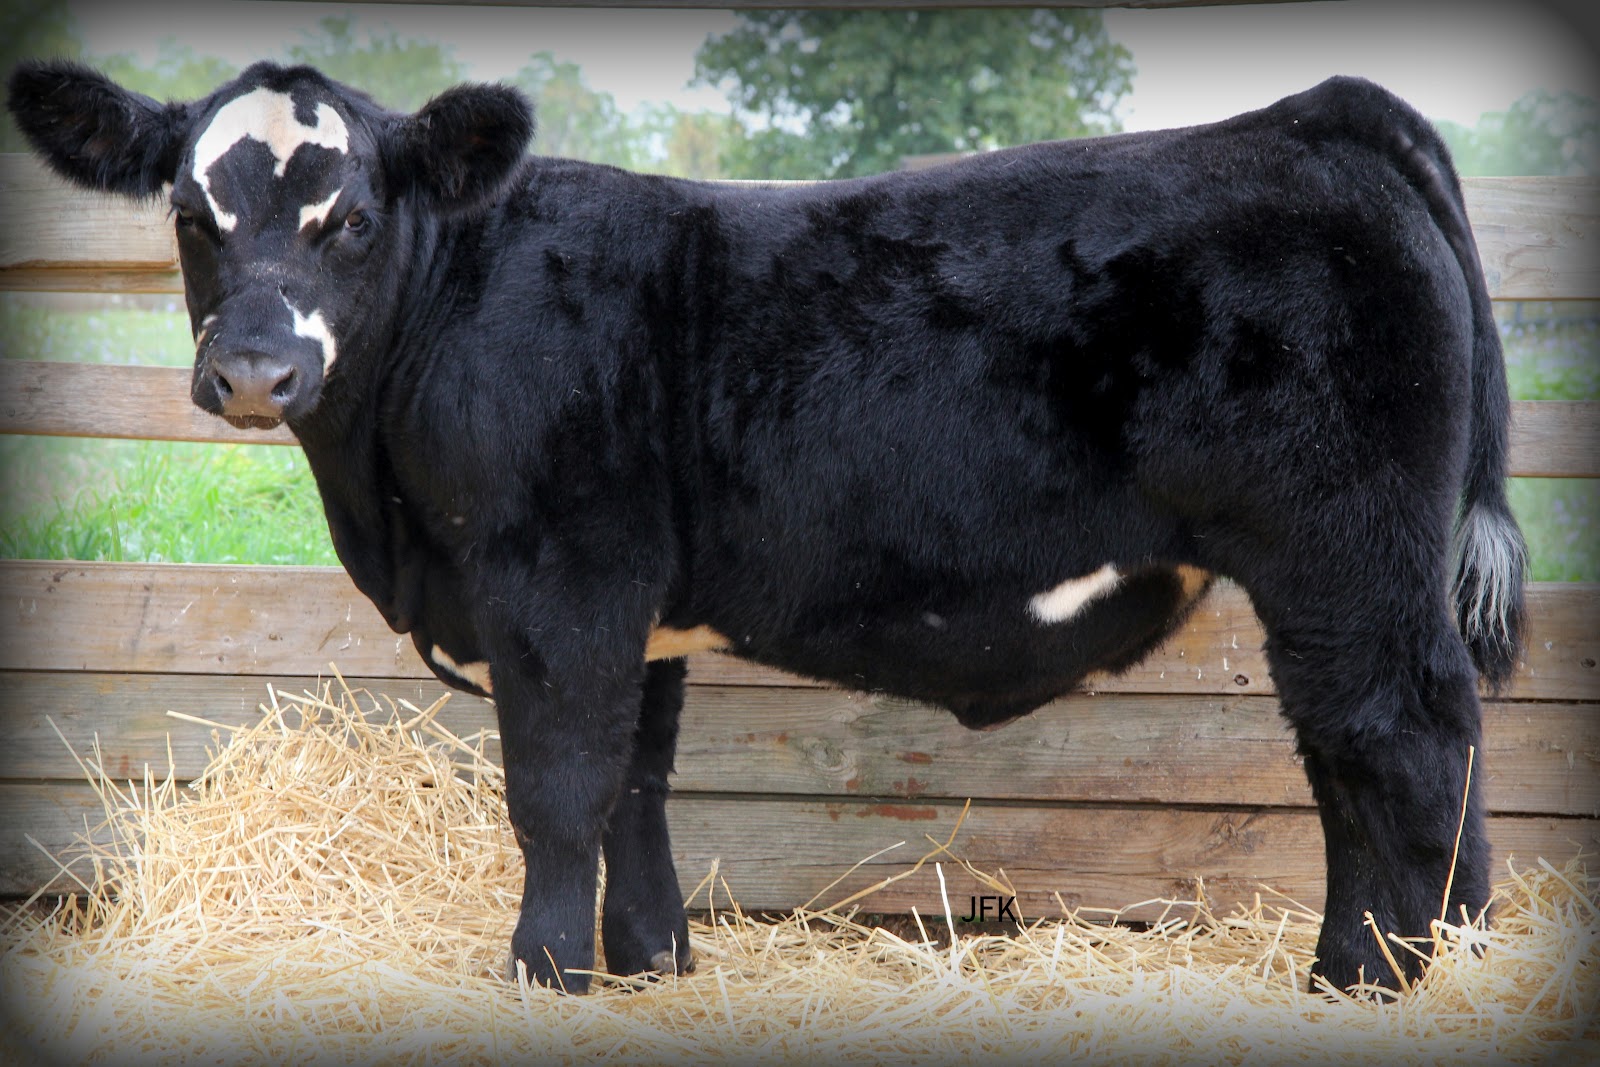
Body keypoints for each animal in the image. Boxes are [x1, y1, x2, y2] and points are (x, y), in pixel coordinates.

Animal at [8, 59, 1526, 997]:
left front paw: (542, 971)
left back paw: (1376, 978)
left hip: (1344, 554)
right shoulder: (637, 610)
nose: (255, 373)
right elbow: (636, 780)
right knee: (1388, 752)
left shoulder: (556, 585)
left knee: (1396, 743)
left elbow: (555, 787)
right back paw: (1401, 962)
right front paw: (649, 962)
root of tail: (1316, 114)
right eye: (191, 211)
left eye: (356, 214)